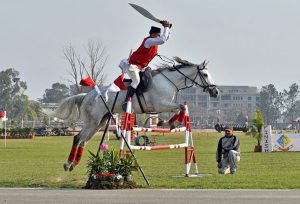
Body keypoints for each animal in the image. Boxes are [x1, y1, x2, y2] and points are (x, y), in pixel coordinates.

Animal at [51, 57, 218, 171]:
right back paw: (68, 164)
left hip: (100, 122)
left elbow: (179, 109)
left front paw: (168, 123)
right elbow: (180, 108)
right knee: (78, 138)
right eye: (205, 74)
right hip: (93, 121)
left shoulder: (165, 106)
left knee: (83, 141)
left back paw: (74, 164)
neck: (169, 81)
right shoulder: (160, 104)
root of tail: (86, 96)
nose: (215, 92)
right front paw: (171, 123)